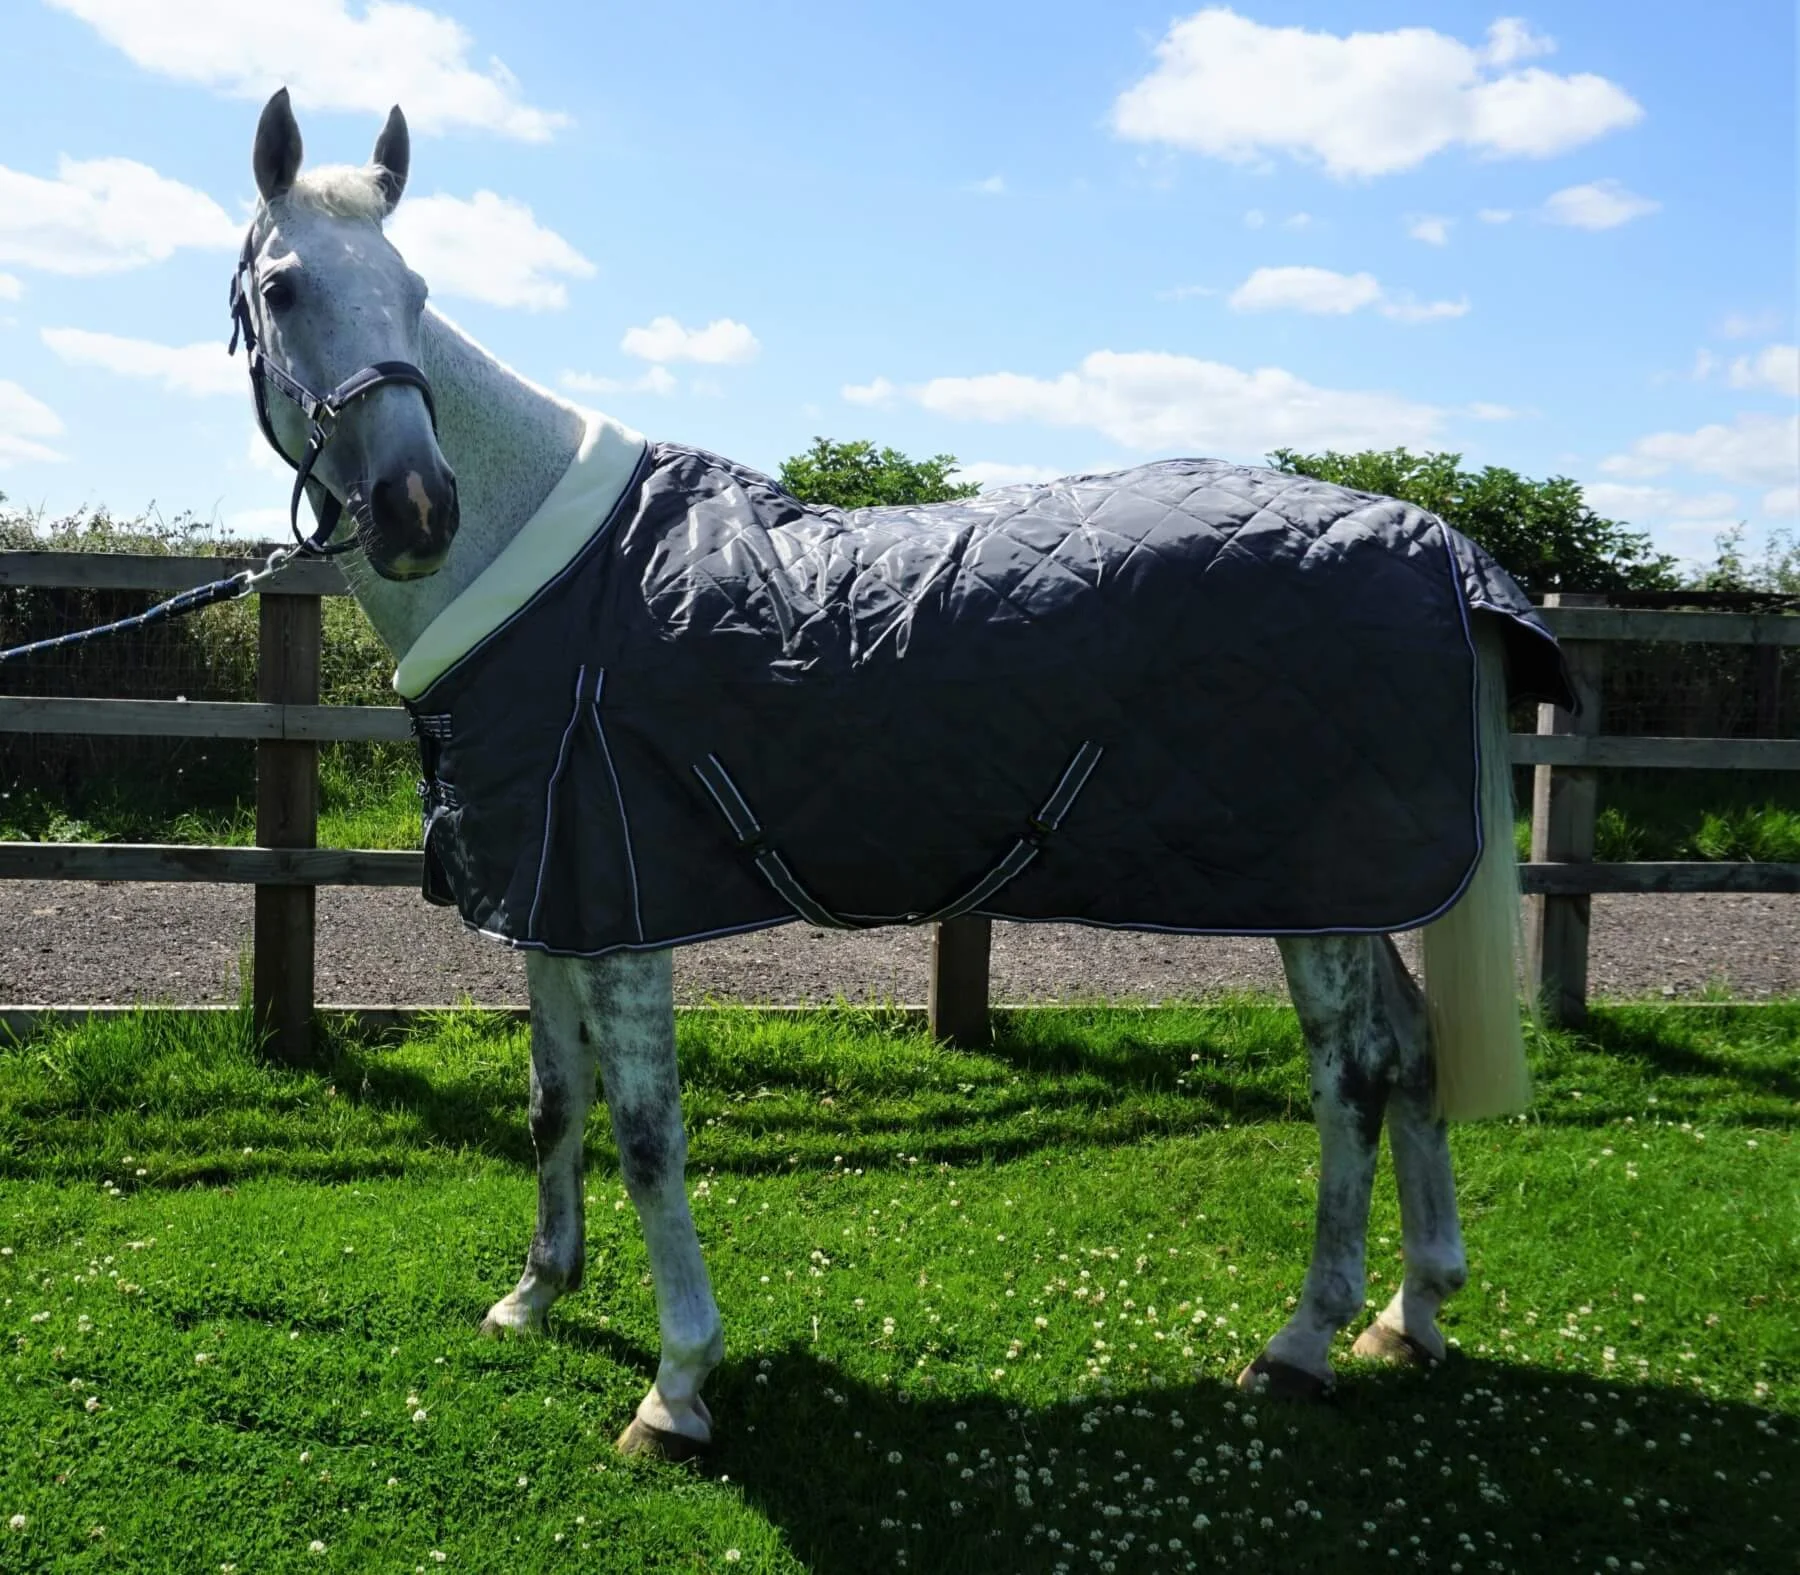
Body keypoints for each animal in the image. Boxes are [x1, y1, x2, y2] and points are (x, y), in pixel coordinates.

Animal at [231, 89, 1562, 1461]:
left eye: (415, 289)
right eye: (285, 287)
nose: (416, 508)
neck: (545, 568)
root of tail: (1437, 540)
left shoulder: (620, 912)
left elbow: (648, 1135)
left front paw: (677, 1386)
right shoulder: (553, 900)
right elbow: (556, 1102)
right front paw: (535, 1295)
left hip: (1319, 899)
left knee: (1351, 1076)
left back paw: (1302, 1340)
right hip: (1353, 891)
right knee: (1412, 1048)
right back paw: (1409, 1314)